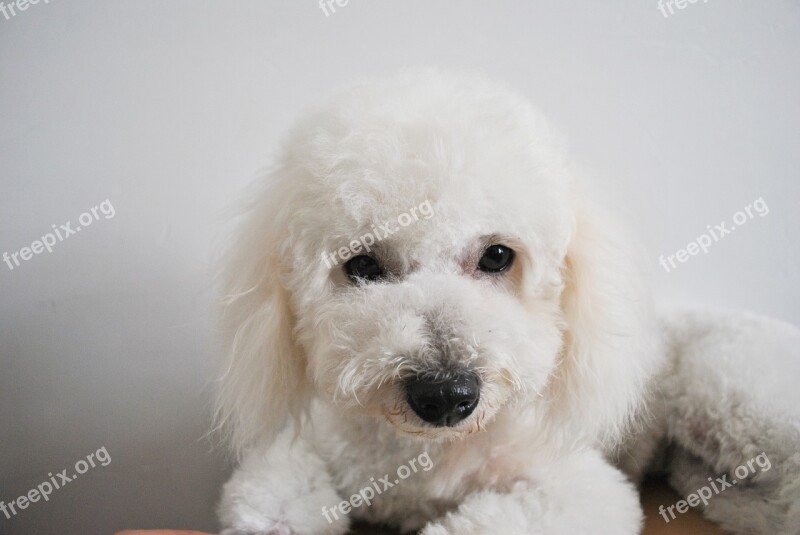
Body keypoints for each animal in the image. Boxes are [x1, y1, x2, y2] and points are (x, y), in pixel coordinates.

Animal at [214, 69, 800, 532]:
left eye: (498, 256)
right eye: (361, 266)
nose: (445, 395)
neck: (429, 452)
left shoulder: (579, 488)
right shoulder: (305, 450)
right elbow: (272, 502)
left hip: (729, 393)